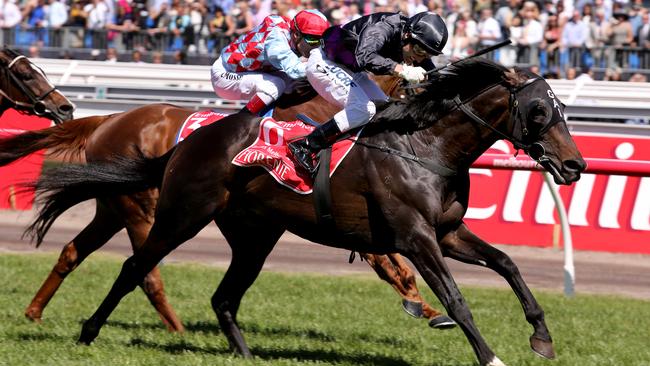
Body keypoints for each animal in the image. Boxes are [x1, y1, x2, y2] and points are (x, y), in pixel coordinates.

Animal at [0, 73, 448, 328]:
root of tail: (108, 119)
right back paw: (175, 327)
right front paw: (428, 309)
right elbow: (395, 267)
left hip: (112, 209)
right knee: (145, 271)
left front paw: (426, 309)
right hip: (145, 210)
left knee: (73, 251)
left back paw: (35, 312)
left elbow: (398, 267)